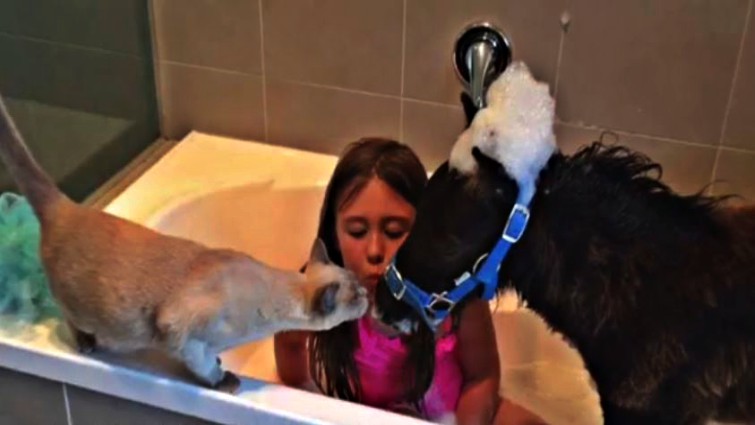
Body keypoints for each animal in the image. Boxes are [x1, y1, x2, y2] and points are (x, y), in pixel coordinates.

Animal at [0, 93, 368, 392]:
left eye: (359, 285)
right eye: (355, 296)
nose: (367, 294)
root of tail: (66, 206)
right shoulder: (182, 332)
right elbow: (203, 365)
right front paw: (224, 380)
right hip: (80, 308)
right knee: (69, 317)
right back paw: (86, 343)